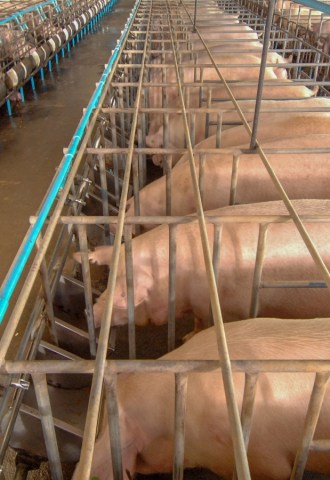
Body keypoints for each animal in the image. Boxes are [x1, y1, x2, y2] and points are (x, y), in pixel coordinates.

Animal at [75, 201, 330, 328]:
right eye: (108, 281)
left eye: (122, 295)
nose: (88, 312)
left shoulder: (224, 309)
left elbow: (203, 325)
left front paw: (186, 338)